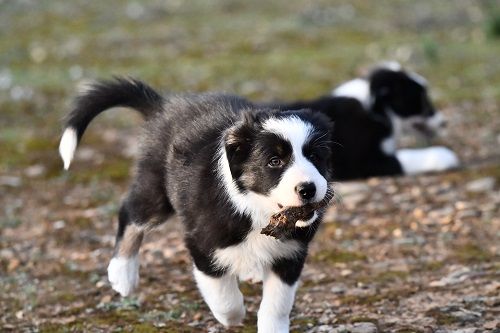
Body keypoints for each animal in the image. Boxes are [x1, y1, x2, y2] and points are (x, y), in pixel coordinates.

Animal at [58, 76, 334, 330]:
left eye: (315, 156)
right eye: (275, 161)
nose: (308, 189)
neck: (255, 208)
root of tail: (164, 107)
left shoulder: (290, 254)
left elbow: (277, 305)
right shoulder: (202, 243)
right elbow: (224, 295)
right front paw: (232, 317)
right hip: (156, 193)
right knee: (130, 213)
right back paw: (122, 274)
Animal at [264, 60, 458, 178]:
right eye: (422, 101)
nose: (445, 123)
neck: (378, 112)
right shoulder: (360, 161)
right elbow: (404, 158)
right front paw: (445, 155)